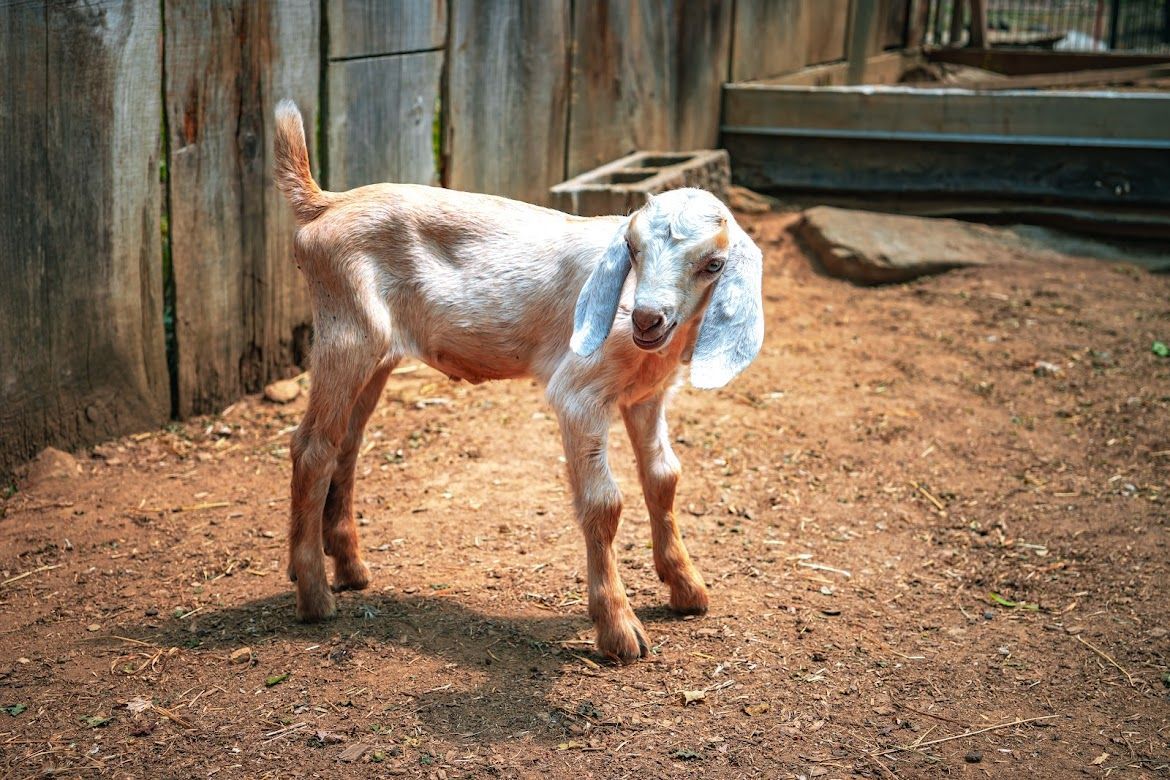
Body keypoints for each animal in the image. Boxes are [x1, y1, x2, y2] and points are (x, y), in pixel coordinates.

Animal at [272, 100, 764, 662]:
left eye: (714, 263)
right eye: (633, 248)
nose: (646, 319)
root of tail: (323, 204)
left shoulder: (647, 397)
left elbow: (663, 478)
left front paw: (687, 588)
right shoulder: (579, 394)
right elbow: (604, 503)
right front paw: (620, 630)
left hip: (377, 356)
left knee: (345, 446)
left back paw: (348, 569)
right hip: (346, 334)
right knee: (311, 447)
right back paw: (315, 596)